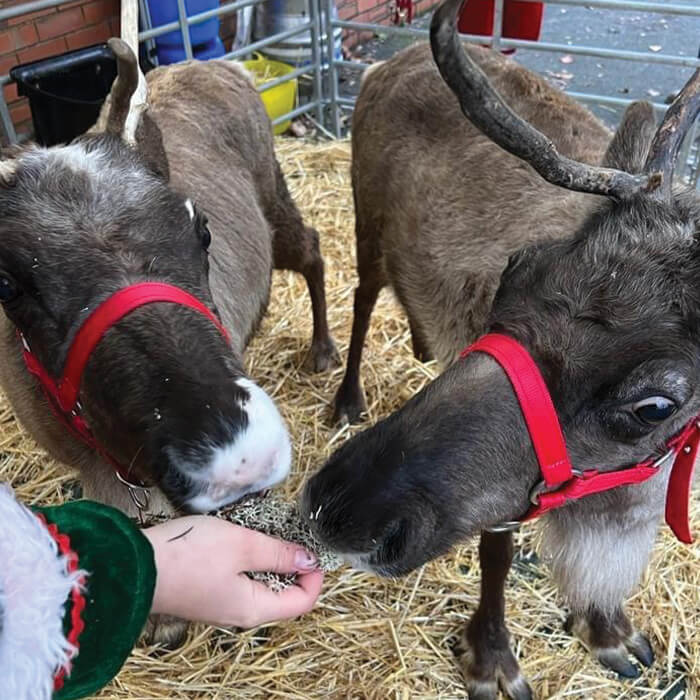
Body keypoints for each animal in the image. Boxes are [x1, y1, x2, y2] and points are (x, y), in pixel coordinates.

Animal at [0, 37, 338, 644]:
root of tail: (216, 63)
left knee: (314, 250)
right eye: (6, 283)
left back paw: (323, 350)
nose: (238, 458)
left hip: (276, 200)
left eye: (200, 228)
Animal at [304, 0, 700, 696]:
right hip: (366, 220)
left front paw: (608, 629)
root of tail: (388, 62)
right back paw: (348, 398)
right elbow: (496, 555)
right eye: (517, 269)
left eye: (654, 405)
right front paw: (490, 658)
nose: (337, 505)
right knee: (362, 298)